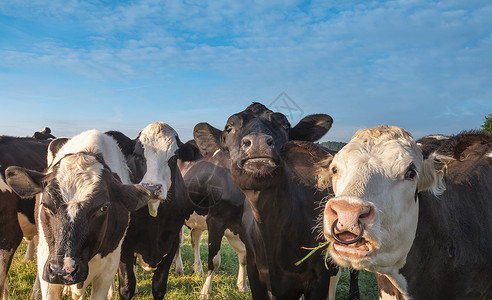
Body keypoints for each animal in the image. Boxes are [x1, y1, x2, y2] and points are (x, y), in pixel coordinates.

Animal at [192, 103, 342, 300]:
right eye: (229, 128)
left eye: (285, 125)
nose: (257, 142)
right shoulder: (255, 271)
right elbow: (217, 260)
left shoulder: (319, 275)